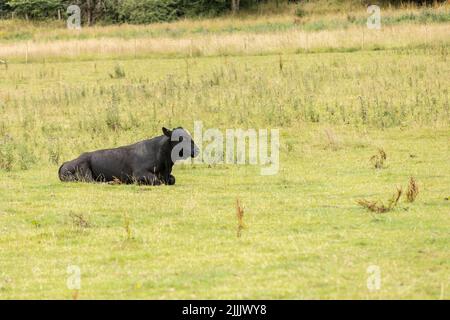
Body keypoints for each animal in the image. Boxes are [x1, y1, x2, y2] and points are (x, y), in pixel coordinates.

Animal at [59, 127, 200, 185]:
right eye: (180, 138)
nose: (197, 149)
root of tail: (65, 163)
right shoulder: (138, 173)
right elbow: (156, 180)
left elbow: (172, 179)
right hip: (84, 170)